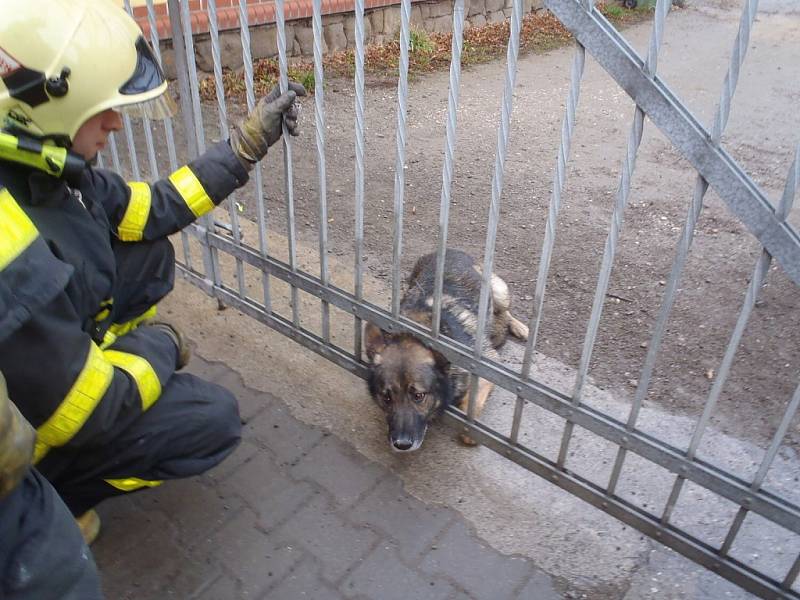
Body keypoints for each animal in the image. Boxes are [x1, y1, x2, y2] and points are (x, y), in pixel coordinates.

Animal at [366, 248, 528, 450]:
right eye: (386, 398)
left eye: (418, 396)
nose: (401, 444)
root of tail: (451, 249)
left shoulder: (487, 366)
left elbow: (472, 402)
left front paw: (469, 432)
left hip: (500, 291)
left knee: (506, 311)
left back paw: (520, 327)